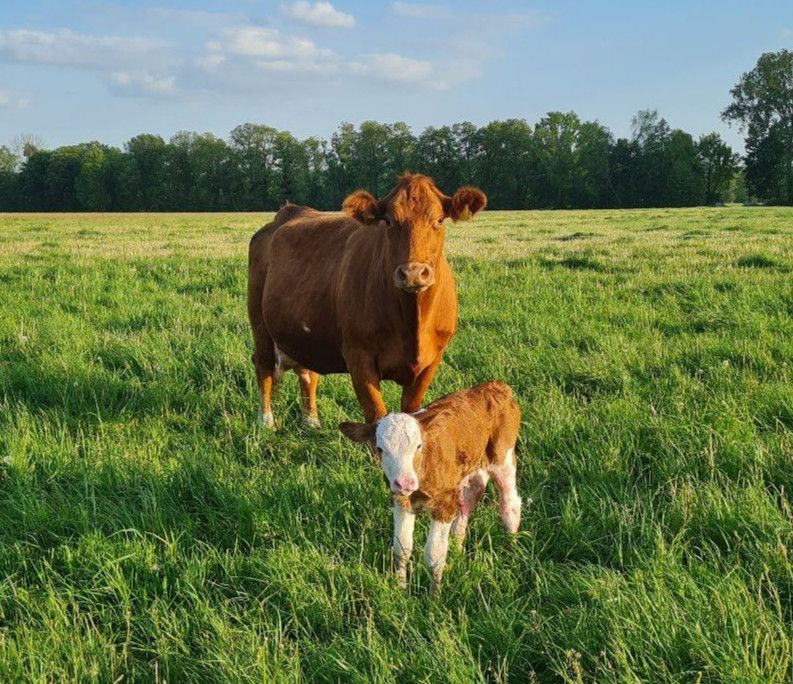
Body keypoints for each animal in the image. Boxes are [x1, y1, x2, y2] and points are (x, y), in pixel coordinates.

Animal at [246, 174, 482, 428]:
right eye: (388, 221)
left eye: (439, 220)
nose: (413, 273)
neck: (412, 324)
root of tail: (288, 211)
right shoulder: (359, 357)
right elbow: (376, 417)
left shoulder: (430, 361)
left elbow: (411, 412)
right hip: (259, 323)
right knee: (264, 367)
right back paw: (266, 422)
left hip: (304, 332)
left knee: (307, 373)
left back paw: (310, 421)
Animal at [338, 380, 520, 592]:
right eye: (380, 449)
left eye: (418, 446)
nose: (405, 482)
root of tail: (495, 385)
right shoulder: (400, 500)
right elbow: (401, 549)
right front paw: (401, 588)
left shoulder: (444, 503)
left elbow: (434, 556)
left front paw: (435, 596)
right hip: (472, 463)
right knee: (470, 497)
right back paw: (457, 548)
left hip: (503, 457)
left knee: (510, 504)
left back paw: (512, 548)